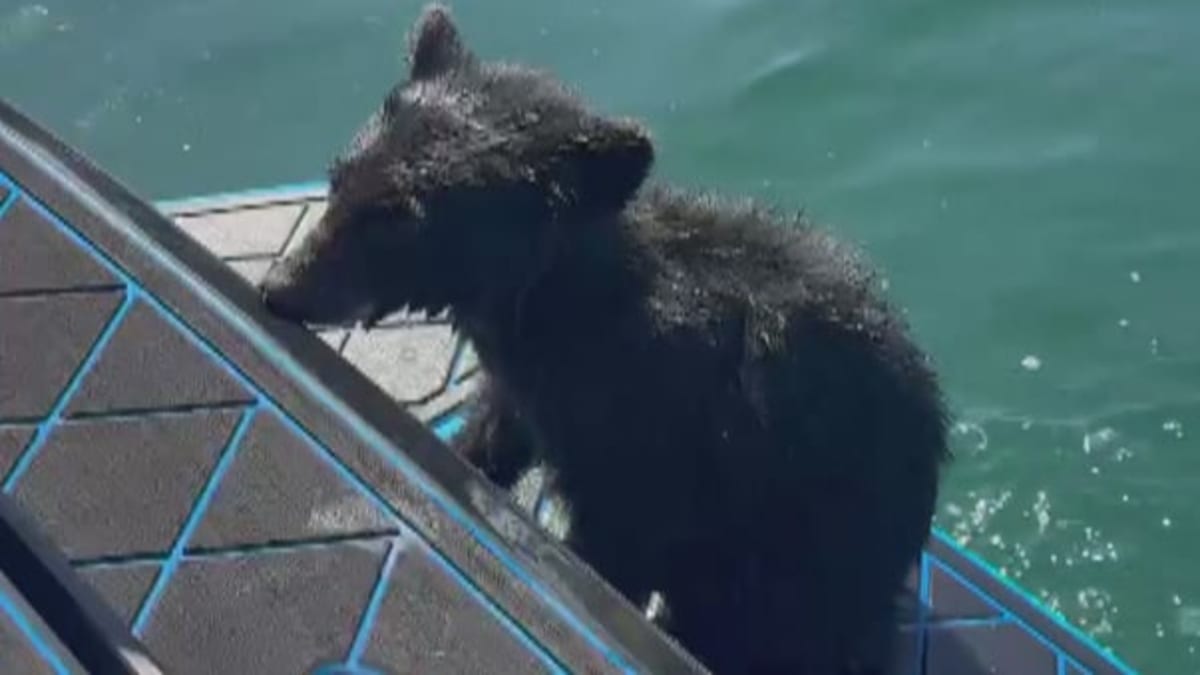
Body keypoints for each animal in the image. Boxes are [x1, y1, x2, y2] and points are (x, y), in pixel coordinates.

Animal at [259, 5, 950, 673]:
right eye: (339, 178)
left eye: (400, 220)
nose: (278, 287)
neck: (563, 308)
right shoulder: (535, 388)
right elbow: (499, 425)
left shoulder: (656, 444)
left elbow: (618, 544)